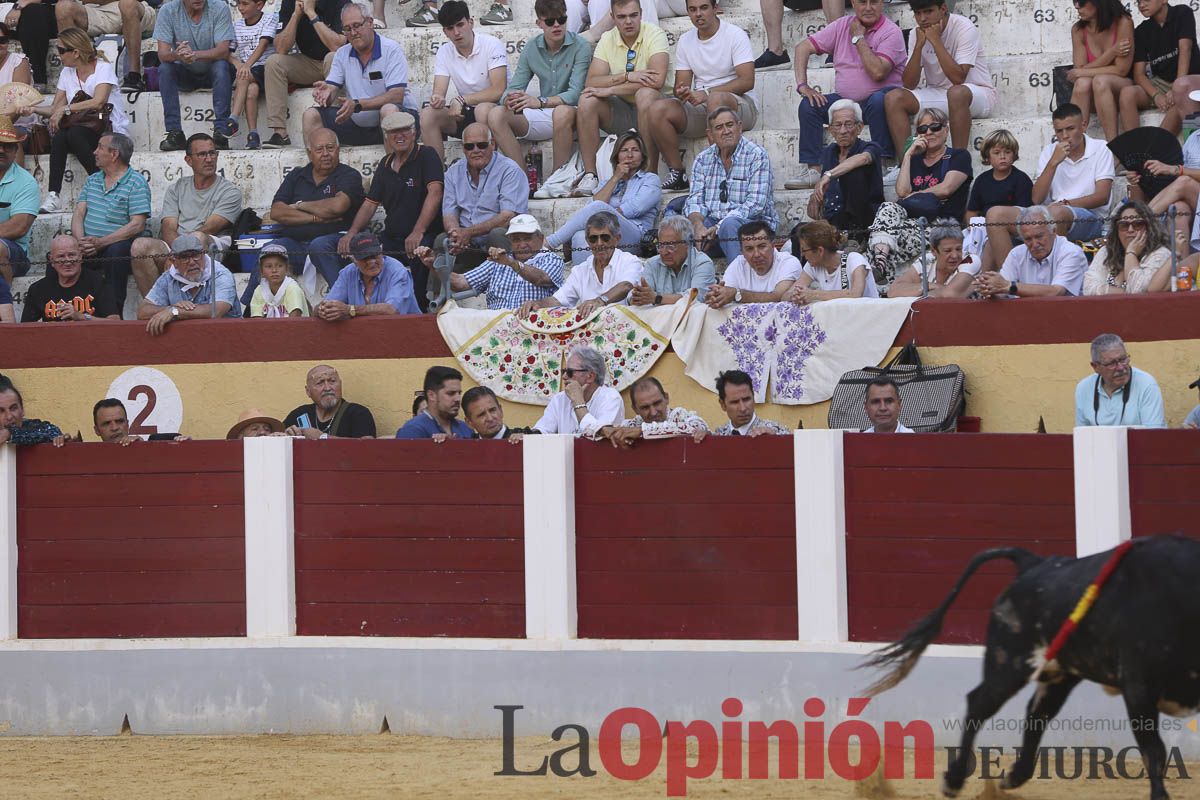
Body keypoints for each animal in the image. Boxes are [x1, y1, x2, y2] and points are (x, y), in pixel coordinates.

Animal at [864, 532, 1200, 800]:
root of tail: (1034, 563)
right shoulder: (1138, 687)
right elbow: (1154, 751)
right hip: (1010, 663)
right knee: (980, 704)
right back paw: (955, 780)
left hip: (1060, 672)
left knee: (1037, 713)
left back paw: (1013, 776)